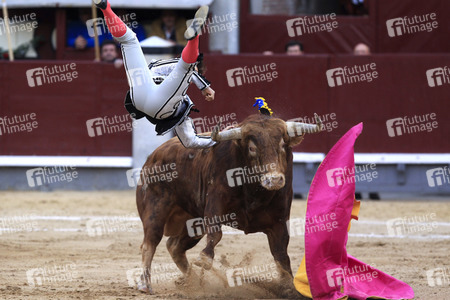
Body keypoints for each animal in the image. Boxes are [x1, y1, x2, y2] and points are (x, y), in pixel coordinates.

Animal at [135, 112, 322, 292]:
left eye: (283, 145)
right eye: (252, 148)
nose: (274, 180)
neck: (254, 191)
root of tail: (153, 155)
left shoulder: (280, 222)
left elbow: (281, 254)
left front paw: (289, 286)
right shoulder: (215, 204)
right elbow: (216, 233)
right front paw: (204, 259)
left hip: (193, 222)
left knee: (174, 246)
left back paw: (191, 281)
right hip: (155, 210)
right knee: (149, 244)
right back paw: (145, 284)